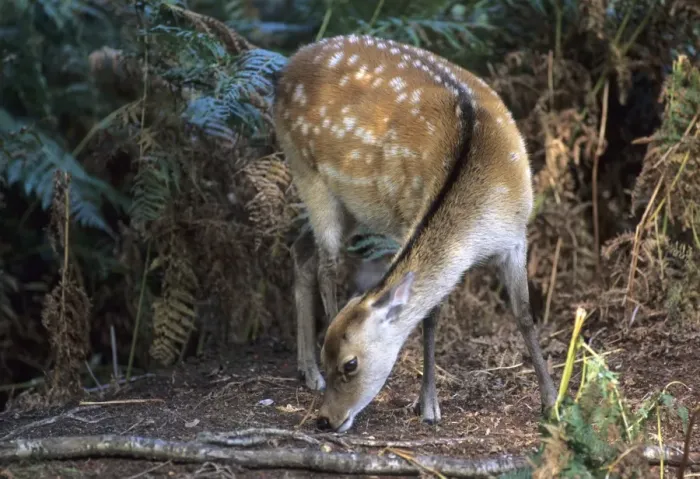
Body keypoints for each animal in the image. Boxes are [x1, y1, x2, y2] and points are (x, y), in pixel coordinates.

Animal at [273, 33, 557, 433]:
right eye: (336, 357)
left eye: (350, 364)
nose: (326, 420)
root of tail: (287, 66)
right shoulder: (409, 215)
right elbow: (431, 316)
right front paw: (429, 406)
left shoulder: (516, 238)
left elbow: (525, 315)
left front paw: (552, 402)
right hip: (307, 172)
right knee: (326, 264)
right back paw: (312, 369)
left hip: (352, 206)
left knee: (301, 249)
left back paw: (306, 371)